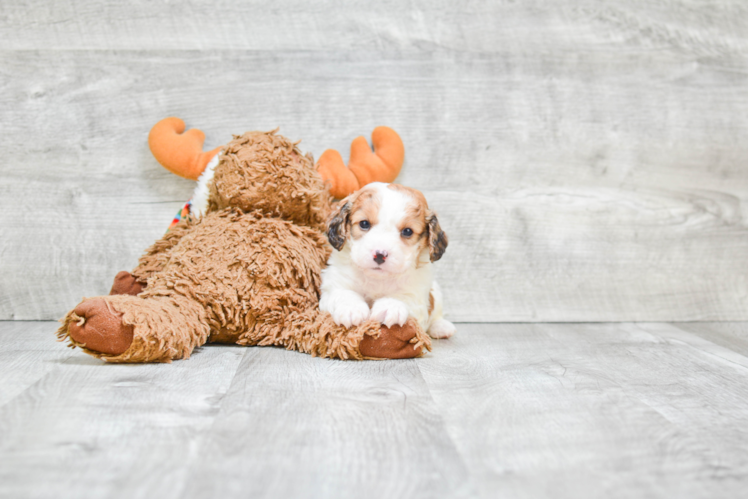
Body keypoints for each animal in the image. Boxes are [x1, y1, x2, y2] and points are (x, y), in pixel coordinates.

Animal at [318, 183, 452, 340]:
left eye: (407, 231)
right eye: (364, 223)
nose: (380, 255)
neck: (378, 279)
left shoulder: (417, 294)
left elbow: (404, 297)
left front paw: (390, 306)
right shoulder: (334, 284)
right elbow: (342, 292)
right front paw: (351, 307)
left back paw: (441, 327)